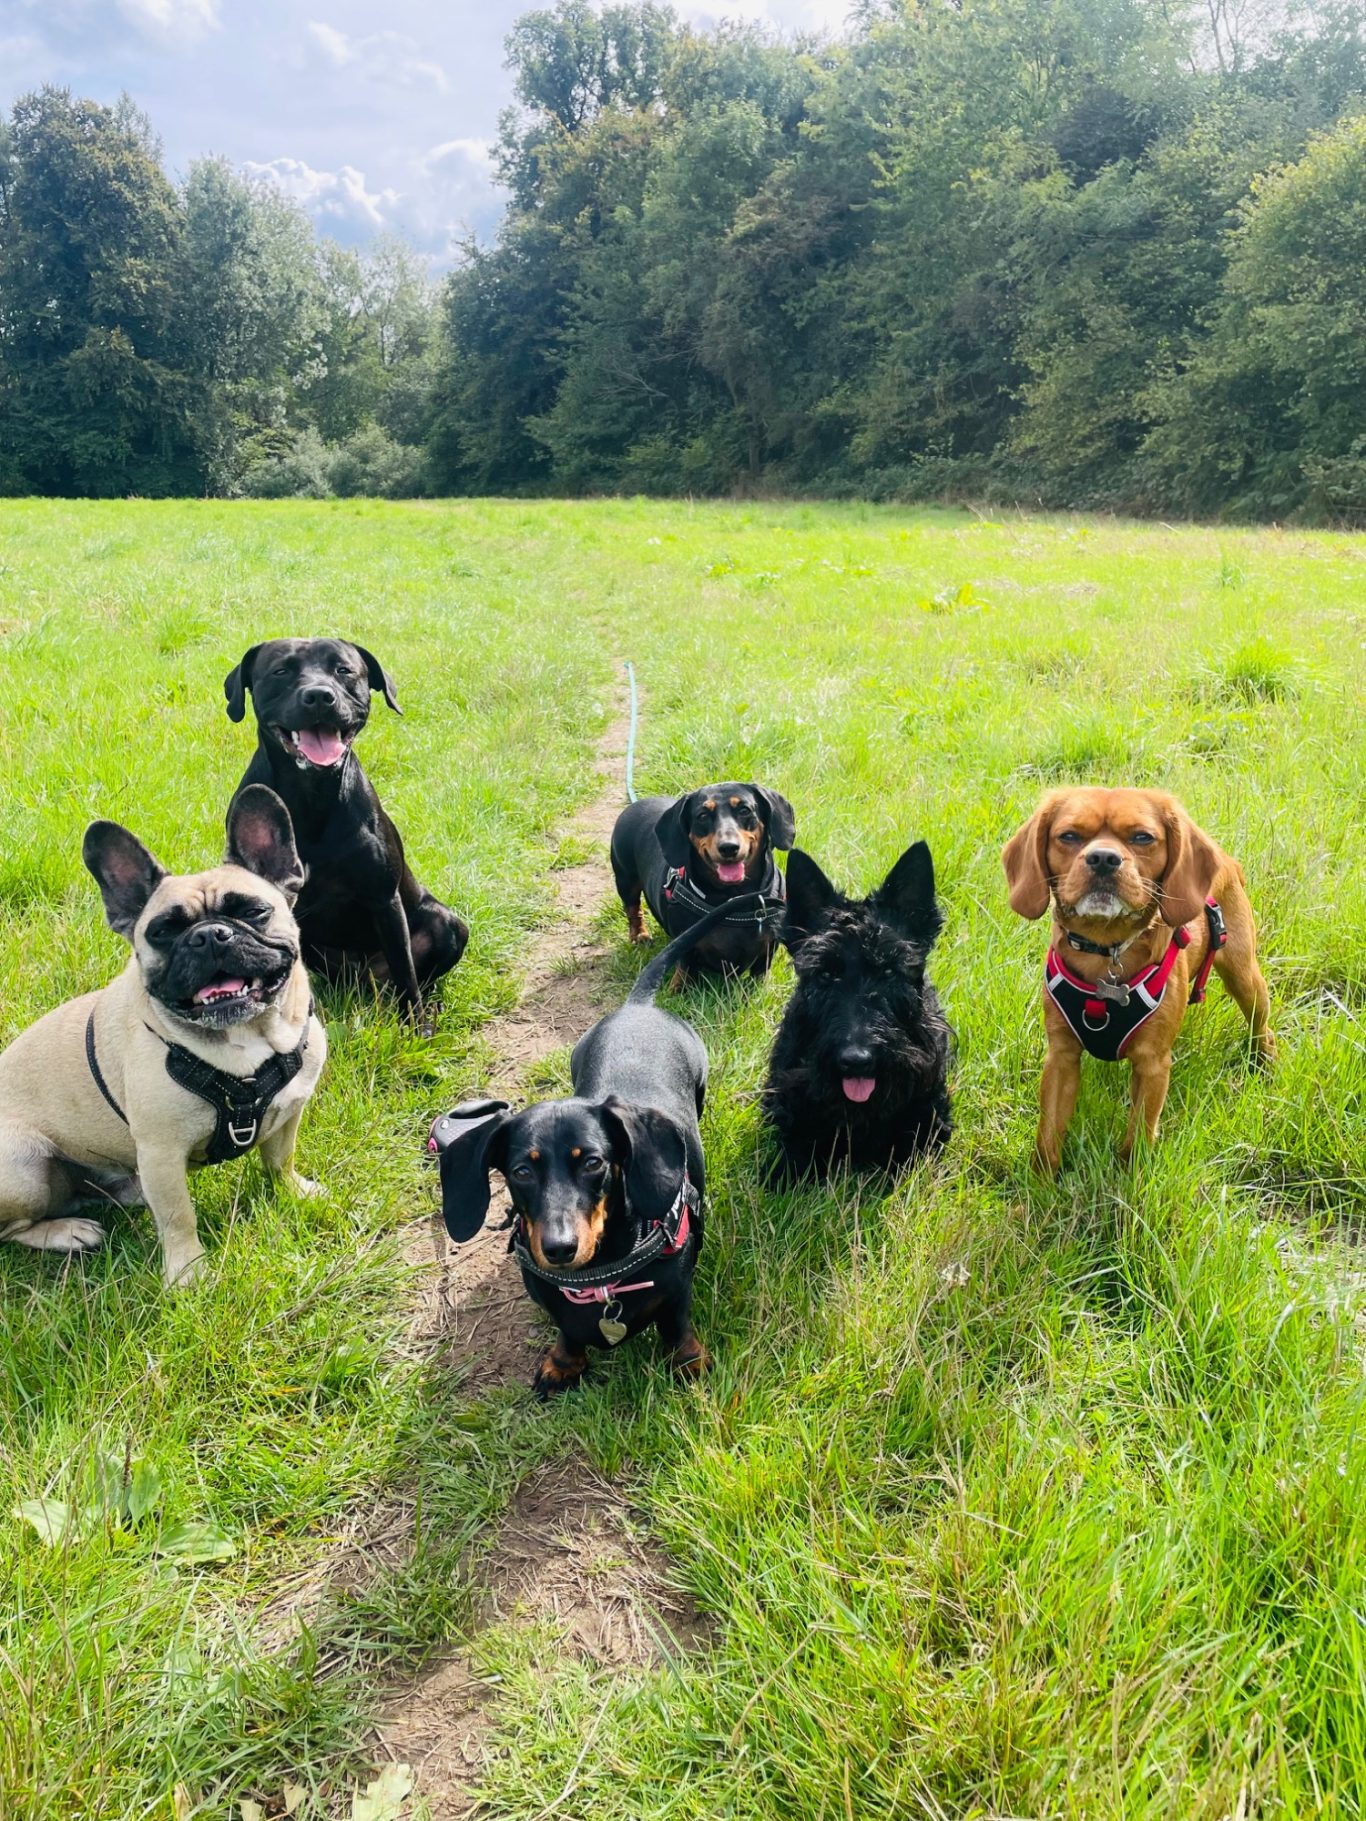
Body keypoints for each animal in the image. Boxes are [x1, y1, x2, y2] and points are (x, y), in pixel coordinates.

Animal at [0, 787, 326, 1286]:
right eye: (163, 932)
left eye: (254, 912)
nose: (210, 935)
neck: (245, 1039)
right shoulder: (161, 1153)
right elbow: (178, 1216)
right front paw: (188, 1273)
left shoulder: (289, 1113)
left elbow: (279, 1159)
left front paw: (294, 1192)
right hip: (22, 1167)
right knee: (13, 1228)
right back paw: (67, 1231)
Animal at [225, 638, 468, 1019]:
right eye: (281, 671)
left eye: (344, 670)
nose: (319, 696)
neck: (311, 796)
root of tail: (368, 977)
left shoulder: (385, 900)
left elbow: (407, 974)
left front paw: (416, 1026)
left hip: (446, 923)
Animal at [431, 895, 758, 1398]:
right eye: (521, 1171)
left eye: (593, 1163)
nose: (559, 1248)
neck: (600, 1276)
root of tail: (637, 1006)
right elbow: (567, 1329)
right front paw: (564, 1364)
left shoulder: (677, 1289)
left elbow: (677, 1324)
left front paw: (689, 1363)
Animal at [610, 783, 795, 986]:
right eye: (702, 815)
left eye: (744, 810)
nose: (728, 847)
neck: (733, 899)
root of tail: (636, 804)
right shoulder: (686, 946)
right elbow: (685, 969)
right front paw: (678, 987)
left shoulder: (768, 947)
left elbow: (760, 972)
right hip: (625, 879)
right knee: (633, 910)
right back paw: (639, 936)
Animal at [1002, 787, 1273, 1171]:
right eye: (1068, 836)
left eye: (1142, 837)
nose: (1103, 858)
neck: (1106, 951)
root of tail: (1225, 858)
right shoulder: (1061, 1057)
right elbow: (1048, 1137)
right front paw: (1041, 1182)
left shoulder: (1152, 1065)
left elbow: (1138, 1138)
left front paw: (1129, 1179)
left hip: (1244, 977)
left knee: (1262, 1025)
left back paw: (1265, 1063)